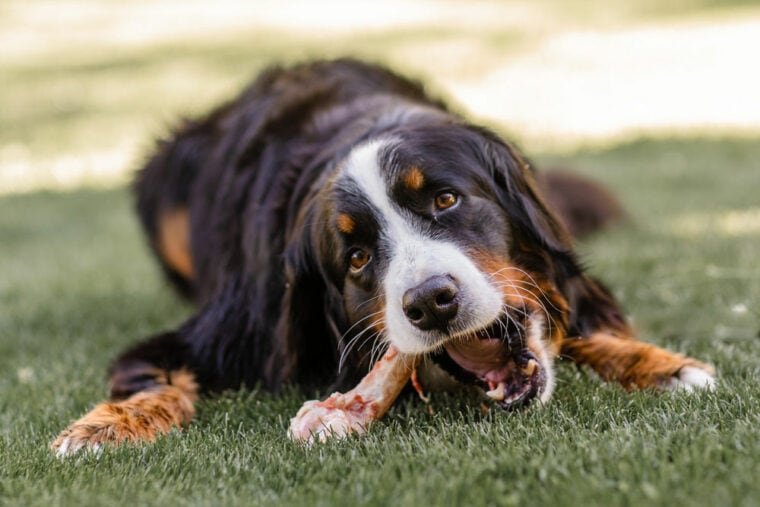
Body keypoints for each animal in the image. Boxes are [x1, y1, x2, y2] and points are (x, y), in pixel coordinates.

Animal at [50, 59, 716, 456]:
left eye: (446, 199)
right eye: (357, 257)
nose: (431, 302)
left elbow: (583, 319)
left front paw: (661, 365)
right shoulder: (223, 333)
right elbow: (153, 377)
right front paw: (104, 426)